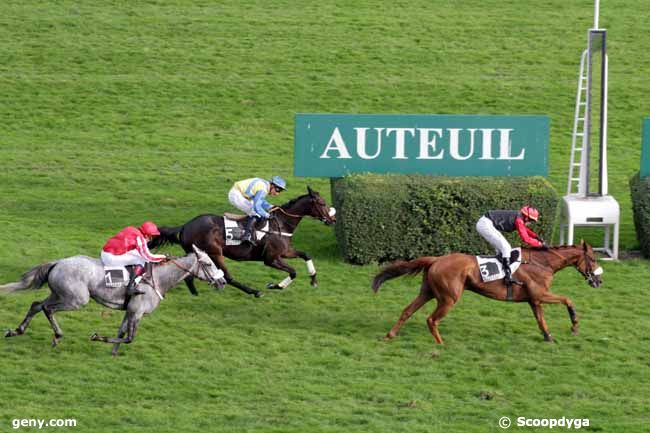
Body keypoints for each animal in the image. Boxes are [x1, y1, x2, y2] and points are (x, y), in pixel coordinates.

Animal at [1, 245, 225, 352]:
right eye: (208, 263)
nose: (222, 282)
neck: (158, 279)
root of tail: (57, 262)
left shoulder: (130, 311)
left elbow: (121, 333)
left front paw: (113, 353)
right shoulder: (137, 311)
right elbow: (129, 337)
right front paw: (97, 337)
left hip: (59, 293)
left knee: (36, 305)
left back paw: (16, 331)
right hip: (76, 300)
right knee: (48, 309)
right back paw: (57, 335)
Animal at [150, 186, 336, 296]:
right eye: (322, 203)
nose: (332, 220)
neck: (281, 223)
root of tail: (185, 226)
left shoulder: (285, 252)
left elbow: (306, 255)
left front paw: (313, 280)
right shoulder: (271, 259)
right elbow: (293, 272)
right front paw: (274, 286)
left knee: (190, 275)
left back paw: (194, 292)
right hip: (215, 252)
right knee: (228, 276)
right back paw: (254, 292)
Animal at [370, 241, 604, 342]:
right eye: (593, 259)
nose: (599, 281)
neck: (543, 262)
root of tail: (436, 259)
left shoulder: (534, 299)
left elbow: (541, 320)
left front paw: (548, 337)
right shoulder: (540, 295)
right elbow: (568, 299)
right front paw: (574, 325)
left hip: (427, 292)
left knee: (407, 311)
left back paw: (390, 335)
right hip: (449, 298)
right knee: (431, 319)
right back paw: (440, 344)